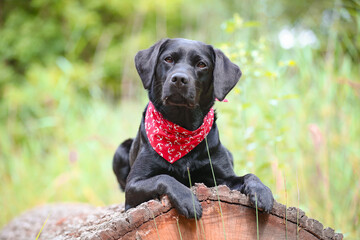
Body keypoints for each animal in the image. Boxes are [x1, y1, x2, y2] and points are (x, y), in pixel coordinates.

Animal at [112, 38, 272, 219]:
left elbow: (249, 175)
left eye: (201, 64)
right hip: (120, 151)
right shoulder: (133, 185)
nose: (179, 78)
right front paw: (187, 200)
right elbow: (164, 177)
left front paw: (262, 192)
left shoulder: (223, 178)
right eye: (168, 59)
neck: (182, 126)